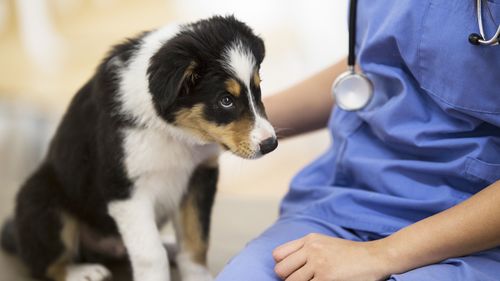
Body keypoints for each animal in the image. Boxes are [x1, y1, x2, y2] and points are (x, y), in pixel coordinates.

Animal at [0, 15, 278, 280]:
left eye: (258, 88)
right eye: (225, 100)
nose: (271, 144)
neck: (174, 132)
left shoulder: (200, 176)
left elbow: (196, 242)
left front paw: (198, 276)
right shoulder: (125, 187)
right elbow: (150, 254)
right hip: (41, 200)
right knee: (44, 264)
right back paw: (82, 272)